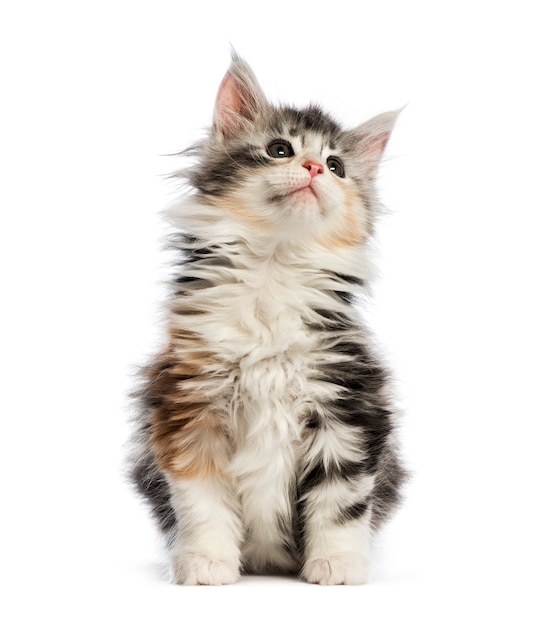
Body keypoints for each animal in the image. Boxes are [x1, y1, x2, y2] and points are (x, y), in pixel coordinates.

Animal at [127, 54, 402, 584]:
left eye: (337, 167)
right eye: (280, 150)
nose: (313, 167)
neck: (273, 271)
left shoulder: (348, 406)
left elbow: (341, 502)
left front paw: (337, 563)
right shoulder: (188, 404)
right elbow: (202, 501)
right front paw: (207, 561)